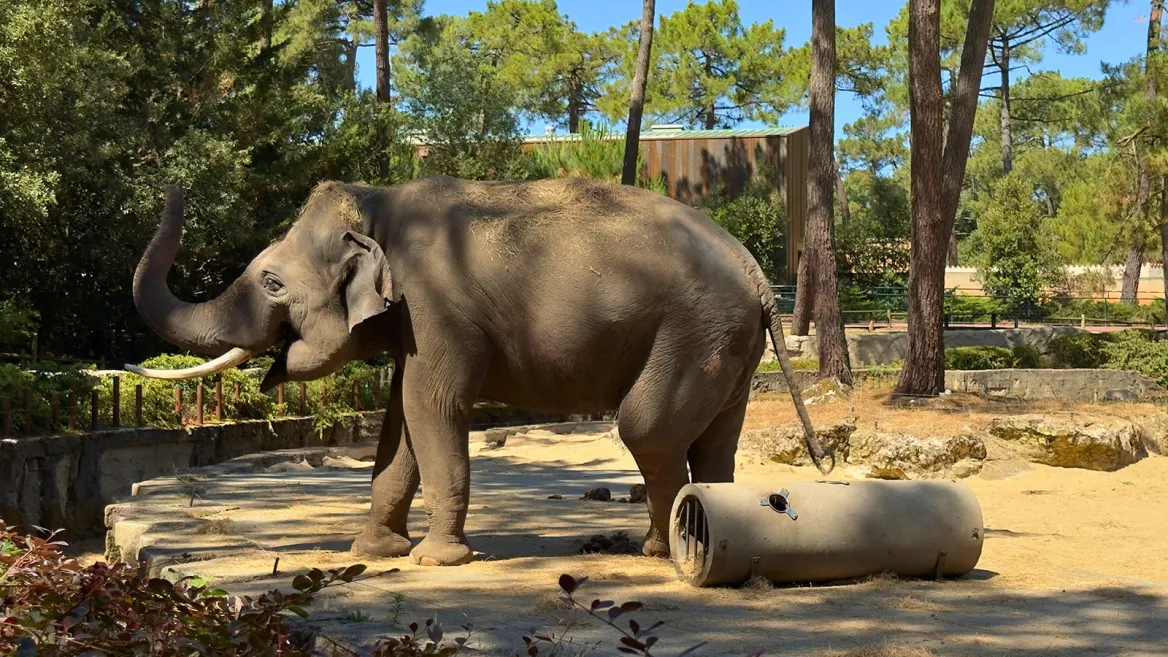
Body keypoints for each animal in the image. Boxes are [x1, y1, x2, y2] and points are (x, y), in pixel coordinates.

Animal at [128, 175, 833, 566]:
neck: (378, 204)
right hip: (729, 349)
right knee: (714, 445)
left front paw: (438, 561)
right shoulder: (414, 324)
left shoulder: (439, 308)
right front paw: (373, 552)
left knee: (648, 430)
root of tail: (756, 275)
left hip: (692, 334)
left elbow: (432, 408)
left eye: (272, 282)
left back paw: (659, 552)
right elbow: (398, 425)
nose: (174, 184)